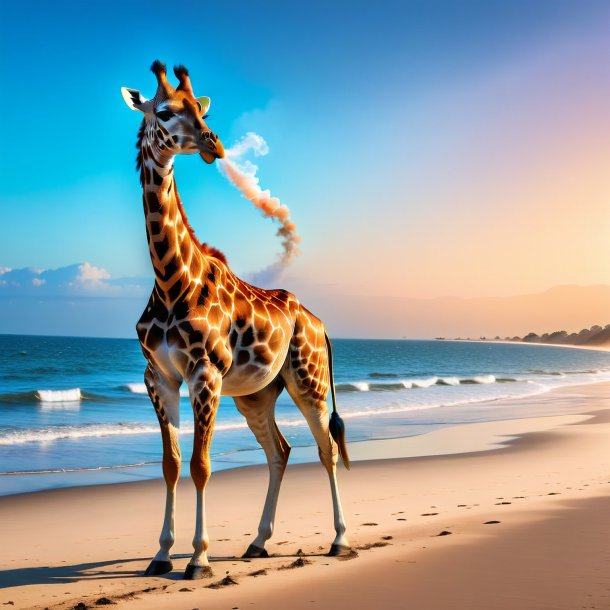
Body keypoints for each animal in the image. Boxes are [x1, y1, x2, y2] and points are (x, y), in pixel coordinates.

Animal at [121, 61, 350, 580]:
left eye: (200, 110)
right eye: (164, 111)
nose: (214, 143)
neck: (170, 281)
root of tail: (320, 323)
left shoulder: (204, 373)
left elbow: (201, 465)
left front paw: (199, 559)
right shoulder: (158, 377)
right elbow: (171, 463)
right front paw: (161, 554)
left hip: (309, 380)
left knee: (325, 449)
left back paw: (340, 539)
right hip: (256, 394)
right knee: (280, 451)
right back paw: (259, 542)